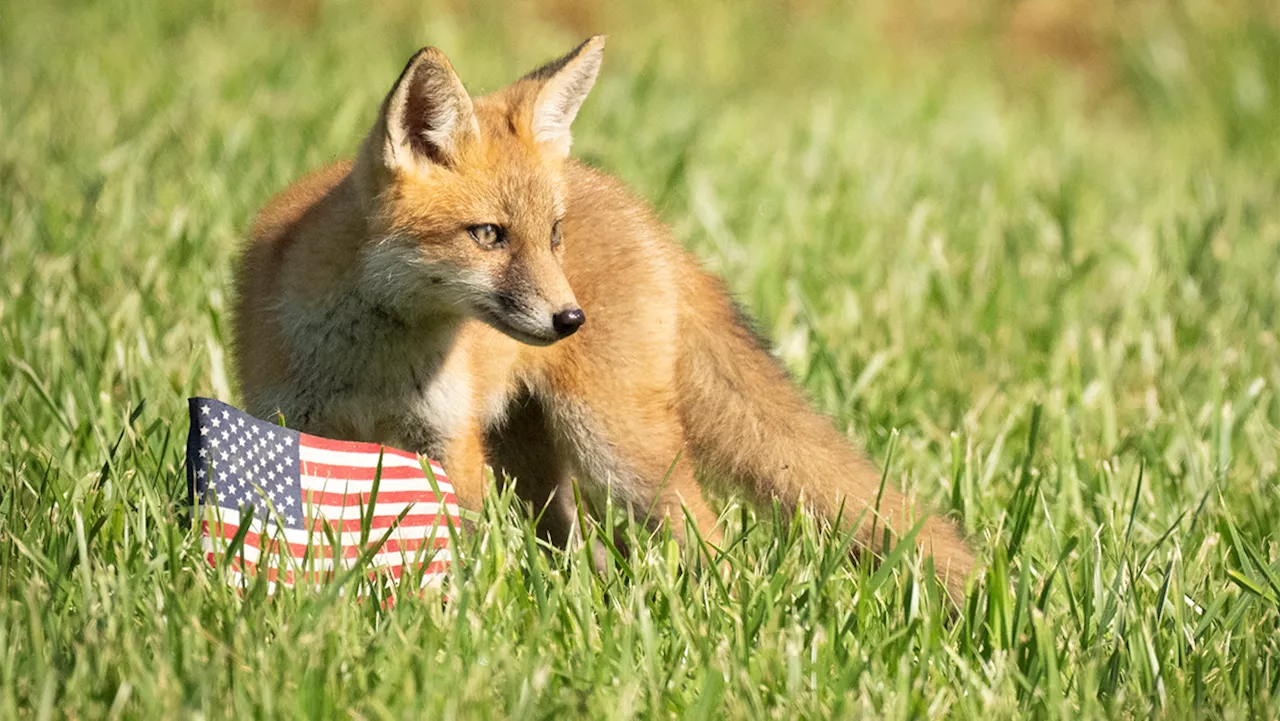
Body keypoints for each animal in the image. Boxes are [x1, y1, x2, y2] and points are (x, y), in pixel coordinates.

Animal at [230, 36, 972, 601]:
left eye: (552, 235)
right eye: (489, 235)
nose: (570, 318)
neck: (372, 364)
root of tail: (642, 211)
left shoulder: (448, 441)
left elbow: (452, 547)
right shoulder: (296, 430)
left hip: (618, 452)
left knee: (708, 536)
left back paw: (724, 610)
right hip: (534, 462)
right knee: (577, 544)